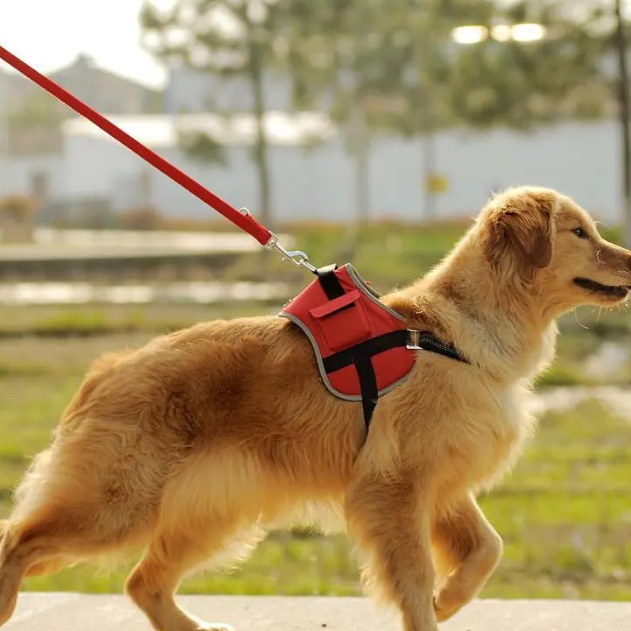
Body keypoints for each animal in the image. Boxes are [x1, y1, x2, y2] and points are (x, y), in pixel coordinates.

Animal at [1, 185, 631, 628]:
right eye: (579, 232)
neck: (452, 333)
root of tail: (107, 369)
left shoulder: (442, 485)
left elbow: (487, 550)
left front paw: (449, 599)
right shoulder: (395, 488)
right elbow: (414, 579)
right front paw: (433, 605)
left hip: (210, 513)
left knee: (143, 584)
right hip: (118, 505)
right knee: (17, 538)